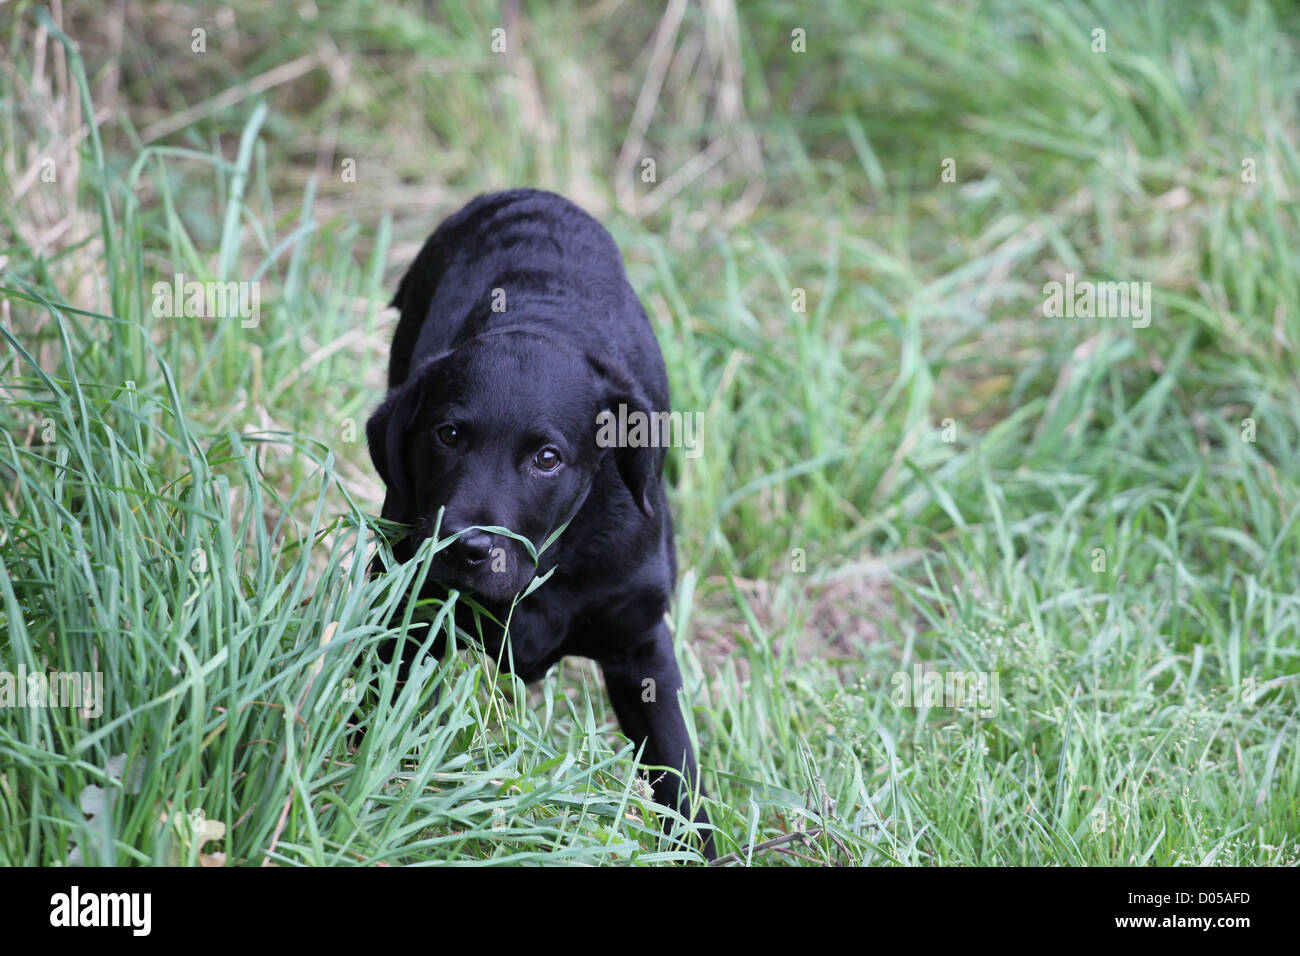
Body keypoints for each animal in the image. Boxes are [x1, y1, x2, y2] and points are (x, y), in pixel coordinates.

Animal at [366, 187, 717, 858]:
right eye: (448, 435)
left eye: (547, 459)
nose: (468, 547)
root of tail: (522, 194)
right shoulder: (404, 607)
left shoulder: (641, 645)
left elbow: (679, 775)